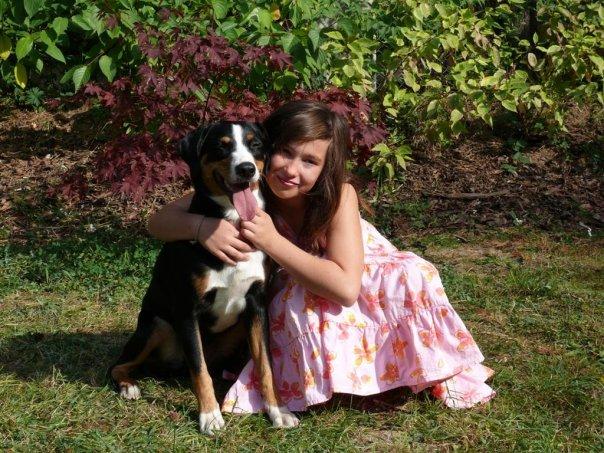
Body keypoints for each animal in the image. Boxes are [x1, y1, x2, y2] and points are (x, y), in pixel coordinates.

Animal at [110, 121, 299, 434]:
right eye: (221, 146)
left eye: (255, 144)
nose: (247, 169)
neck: (233, 222)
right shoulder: (187, 310)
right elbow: (200, 371)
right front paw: (210, 416)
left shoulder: (256, 305)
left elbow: (266, 366)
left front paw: (278, 411)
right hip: (157, 324)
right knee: (119, 364)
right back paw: (129, 387)